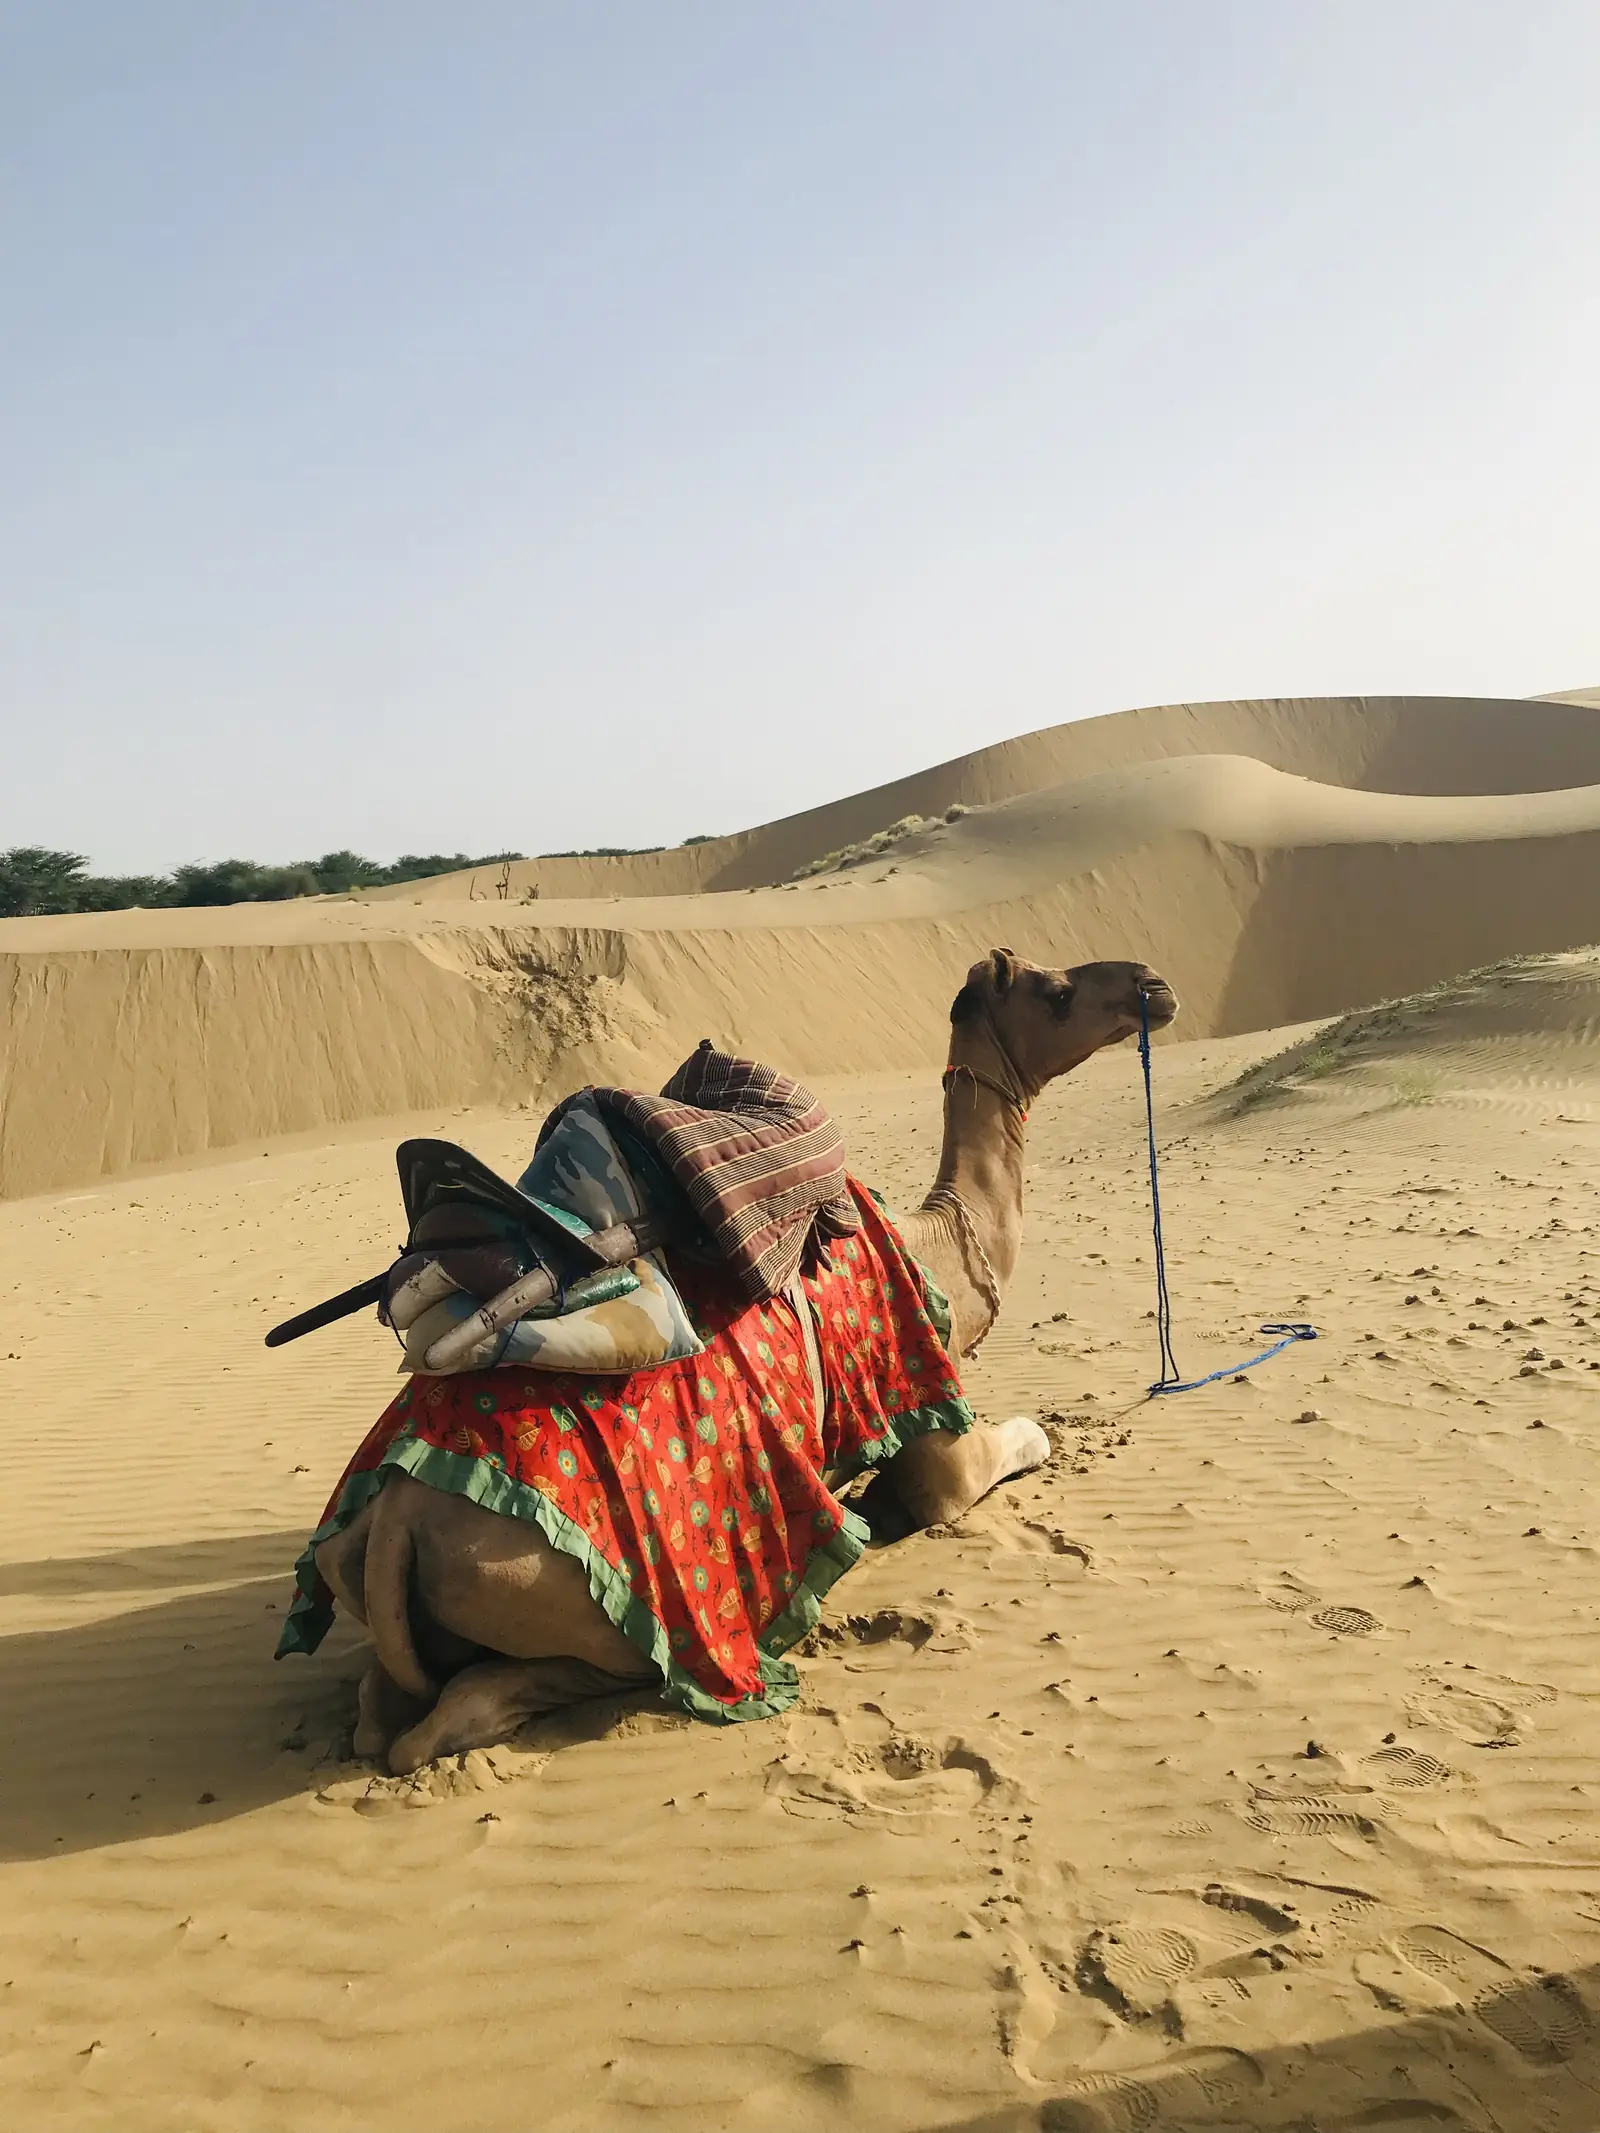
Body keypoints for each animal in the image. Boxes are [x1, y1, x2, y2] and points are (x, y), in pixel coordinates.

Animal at [312, 949, 1178, 1773]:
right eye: (1054, 992)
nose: (1154, 983)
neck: (941, 1257)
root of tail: (394, 1521)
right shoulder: (936, 1431)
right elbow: (1004, 1449)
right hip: (572, 1593)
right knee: (490, 1702)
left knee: (375, 1706)